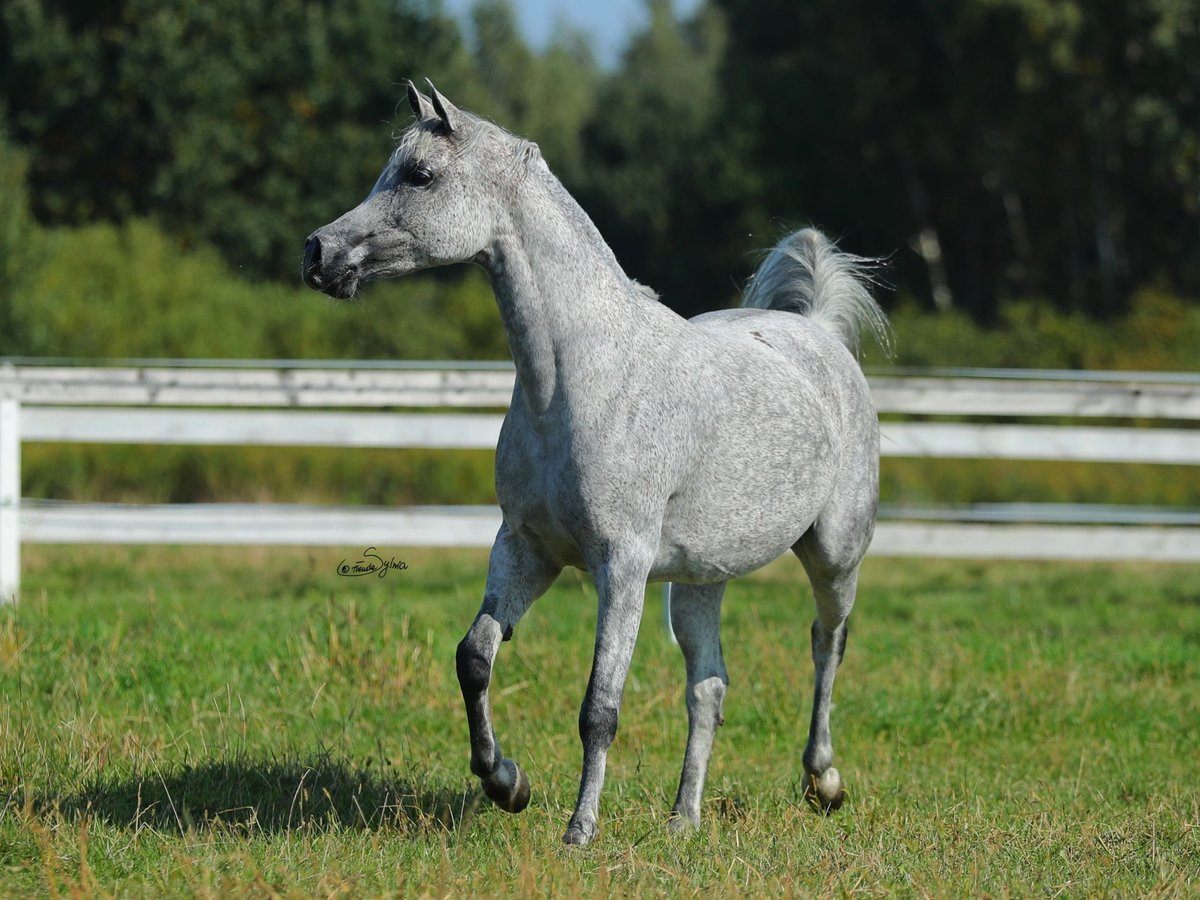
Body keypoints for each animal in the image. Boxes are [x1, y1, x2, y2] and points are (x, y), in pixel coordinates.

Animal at [302, 79, 892, 844]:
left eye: (420, 176)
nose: (318, 252)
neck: (581, 379)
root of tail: (818, 333)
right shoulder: (526, 549)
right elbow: (474, 657)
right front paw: (506, 783)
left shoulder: (622, 566)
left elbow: (600, 708)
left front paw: (579, 831)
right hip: (701, 580)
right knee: (708, 685)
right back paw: (682, 820)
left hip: (834, 554)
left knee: (827, 643)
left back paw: (823, 781)